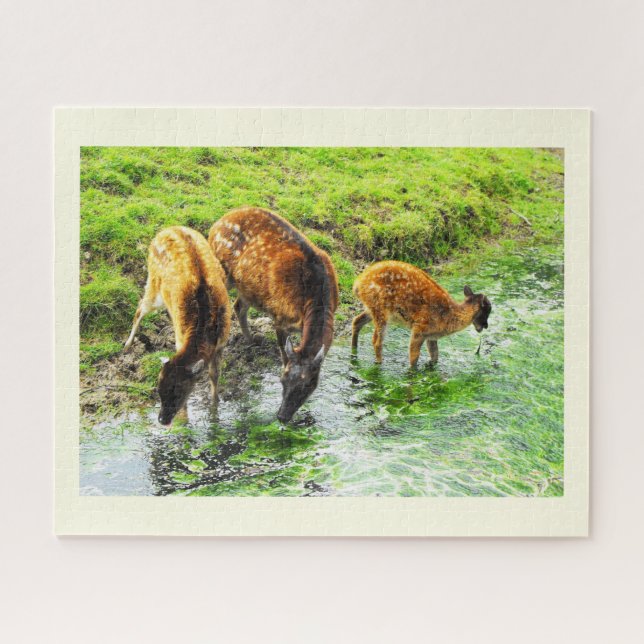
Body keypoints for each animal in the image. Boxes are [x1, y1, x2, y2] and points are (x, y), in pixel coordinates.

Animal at [123, 226, 231, 425]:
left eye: (178, 392)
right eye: (158, 391)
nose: (162, 419)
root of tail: (166, 230)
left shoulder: (222, 343)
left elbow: (214, 374)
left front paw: (215, 407)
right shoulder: (180, 337)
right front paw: (185, 419)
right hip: (154, 282)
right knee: (140, 308)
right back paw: (127, 346)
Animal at [208, 207, 339, 423]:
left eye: (308, 386)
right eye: (282, 380)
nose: (282, 416)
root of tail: (215, 226)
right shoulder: (280, 316)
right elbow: (284, 353)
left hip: (248, 287)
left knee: (239, 305)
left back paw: (251, 339)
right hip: (222, 272)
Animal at [351, 260, 491, 368]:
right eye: (487, 311)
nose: (485, 326)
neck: (448, 315)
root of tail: (357, 284)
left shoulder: (431, 336)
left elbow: (435, 356)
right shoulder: (419, 329)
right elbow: (414, 357)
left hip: (372, 308)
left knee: (356, 321)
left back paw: (354, 353)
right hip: (380, 309)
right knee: (376, 341)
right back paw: (379, 364)